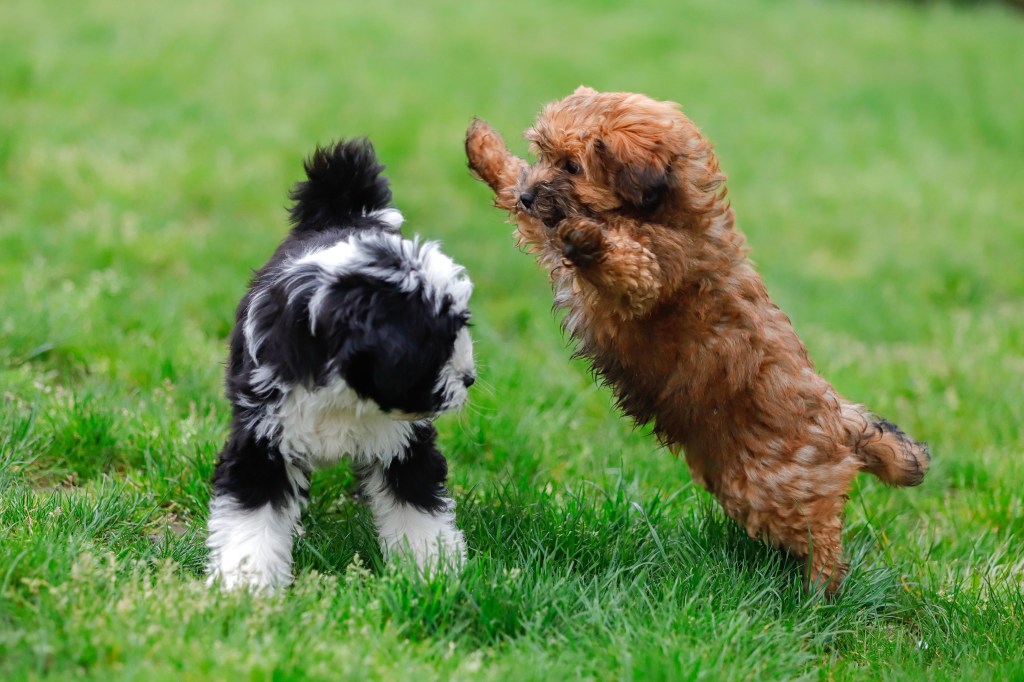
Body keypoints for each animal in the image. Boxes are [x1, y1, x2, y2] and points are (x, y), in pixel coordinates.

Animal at [208, 139, 479, 589]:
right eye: (436, 342)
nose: (469, 379)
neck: (344, 389)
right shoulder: (262, 439)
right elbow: (253, 515)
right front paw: (249, 582)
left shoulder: (403, 444)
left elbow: (417, 508)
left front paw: (432, 570)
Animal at [468, 86, 933, 589]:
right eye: (543, 153)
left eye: (572, 166)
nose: (530, 196)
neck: (658, 211)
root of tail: (841, 422)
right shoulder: (551, 234)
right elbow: (520, 194)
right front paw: (485, 149)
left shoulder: (653, 272)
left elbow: (625, 260)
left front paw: (591, 238)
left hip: (777, 485)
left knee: (822, 533)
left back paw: (819, 590)